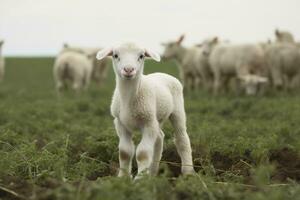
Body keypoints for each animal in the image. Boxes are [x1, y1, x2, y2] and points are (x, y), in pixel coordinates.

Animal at [96, 42, 195, 178]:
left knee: (182, 139)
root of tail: (162, 73)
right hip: (156, 119)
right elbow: (125, 152)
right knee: (159, 138)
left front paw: (140, 179)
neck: (128, 99)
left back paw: (188, 172)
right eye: (115, 55)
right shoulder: (120, 123)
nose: (128, 69)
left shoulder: (148, 123)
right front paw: (123, 177)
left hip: (177, 110)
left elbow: (142, 153)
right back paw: (152, 173)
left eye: (141, 56)